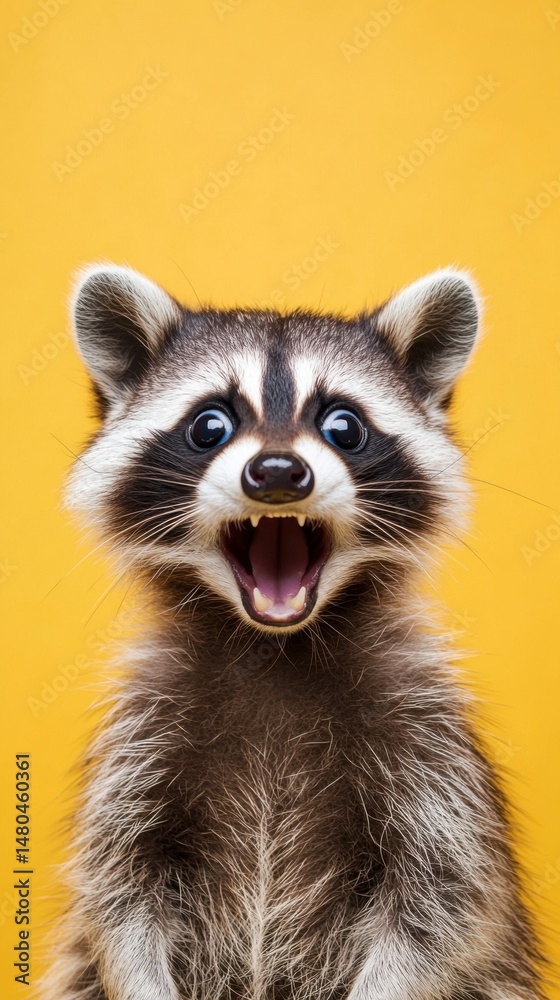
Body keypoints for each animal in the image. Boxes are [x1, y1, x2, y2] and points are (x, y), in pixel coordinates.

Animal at [45, 264, 543, 999]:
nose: (278, 473)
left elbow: (442, 902)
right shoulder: (139, 742)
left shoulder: (429, 745)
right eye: (210, 425)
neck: (273, 646)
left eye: (343, 426)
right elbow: (119, 893)